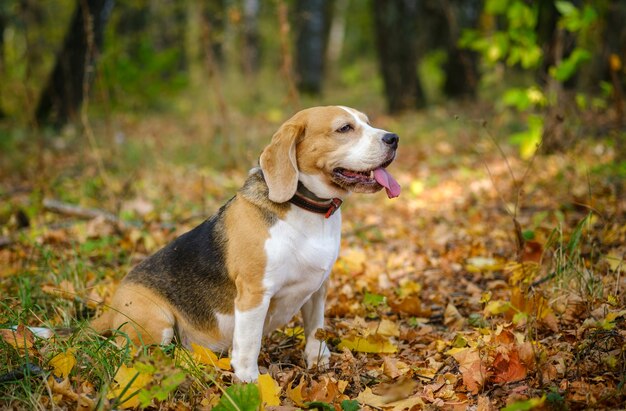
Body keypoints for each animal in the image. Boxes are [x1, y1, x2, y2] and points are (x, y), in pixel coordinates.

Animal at [91, 106, 400, 384]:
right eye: (344, 128)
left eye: (367, 122)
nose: (393, 138)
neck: (308, 210)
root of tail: (111, 306)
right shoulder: (254, 294)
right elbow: (249, 344)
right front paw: (250, 383)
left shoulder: (318, 288)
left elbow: (316, 329)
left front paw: (318, 361)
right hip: (157, 323)